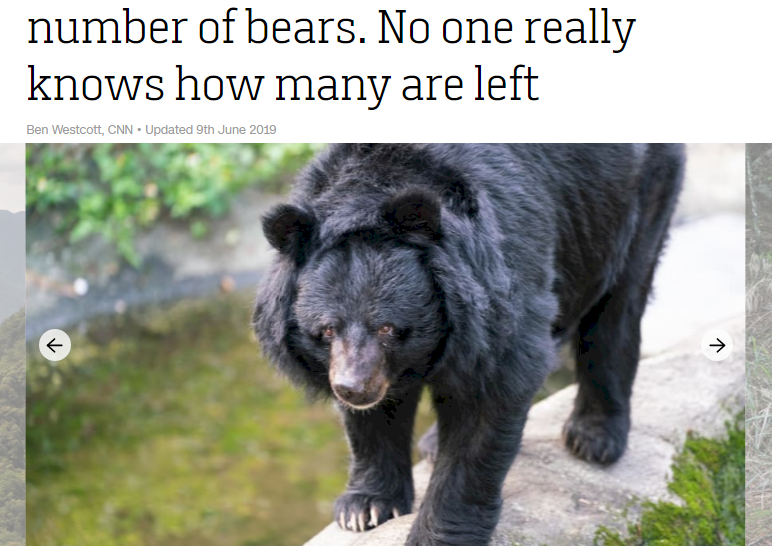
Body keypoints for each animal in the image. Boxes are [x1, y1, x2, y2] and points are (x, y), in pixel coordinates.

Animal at [253, 143, 684, 546]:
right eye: (327, 330)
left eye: (388, 328)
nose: (353, 389)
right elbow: (374, 421)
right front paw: (365, 509)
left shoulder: (498, 288)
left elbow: (488, 404)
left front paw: (437, 534)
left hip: (634, 196)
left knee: (618, 305)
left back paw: (593, 437)